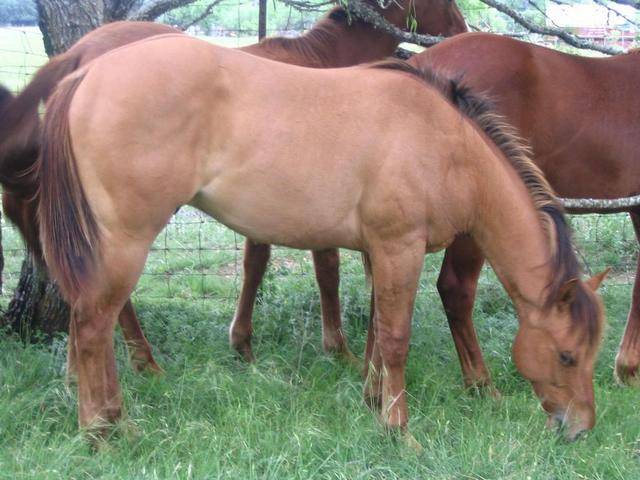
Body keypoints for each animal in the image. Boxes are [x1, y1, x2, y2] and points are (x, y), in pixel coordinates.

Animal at [0, 0, 468, 368]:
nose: (463, 32)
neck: (322, 67)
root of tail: (80, 56)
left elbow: (255, 263)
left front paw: (243, 343)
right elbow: (326, 271)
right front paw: (337, 348)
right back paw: (143, 358)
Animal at [35, 35, 604, 438]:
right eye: (567, 356)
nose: (579, 429)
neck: (445, 144)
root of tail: (86, 72)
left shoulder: (379, 252)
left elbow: (376, 333)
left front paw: (373, 402)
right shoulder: (400, 248)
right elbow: (396, 340)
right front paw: (398, 429)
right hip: (125, 240)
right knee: (93, 324)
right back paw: (104, 430)